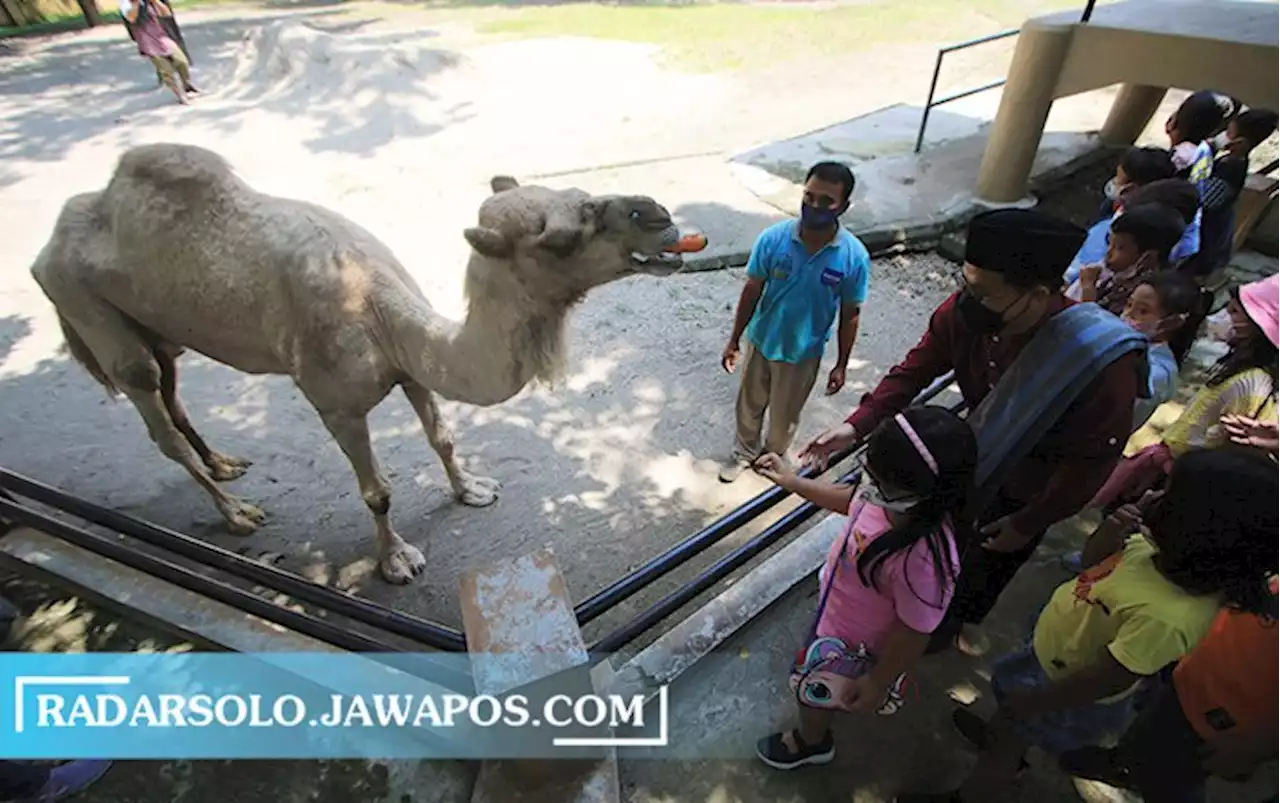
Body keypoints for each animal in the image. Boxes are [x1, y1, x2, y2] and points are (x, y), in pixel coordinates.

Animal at [30, 142, 691, 584]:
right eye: (559, 239)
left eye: (581, 197)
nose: (661, 216)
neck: (373, 305)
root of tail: (46, 246)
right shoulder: (335, 402)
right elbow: (377, 492)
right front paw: (396, 560)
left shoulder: (410, 370)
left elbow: (443, 436)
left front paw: (473, 490)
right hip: (83, 303)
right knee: (151, 406)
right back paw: (237, 513)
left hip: (157, 326)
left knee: (172, 388)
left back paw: (224, 464)